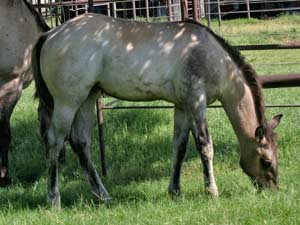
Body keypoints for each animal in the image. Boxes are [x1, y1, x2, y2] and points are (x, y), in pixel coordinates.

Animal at [31, 13, 282, 207]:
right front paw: (211, 191)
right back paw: (54, 199)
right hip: (67, 102)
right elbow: (205, 146)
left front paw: (175, 191)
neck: (210, 55)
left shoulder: (183, 106)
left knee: (81, 143)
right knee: (54, 142)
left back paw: (103, 196)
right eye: (266, 161)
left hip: (87, 99)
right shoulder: (196, 102)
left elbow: (179, 147)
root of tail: (50, 34)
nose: (272, 189)